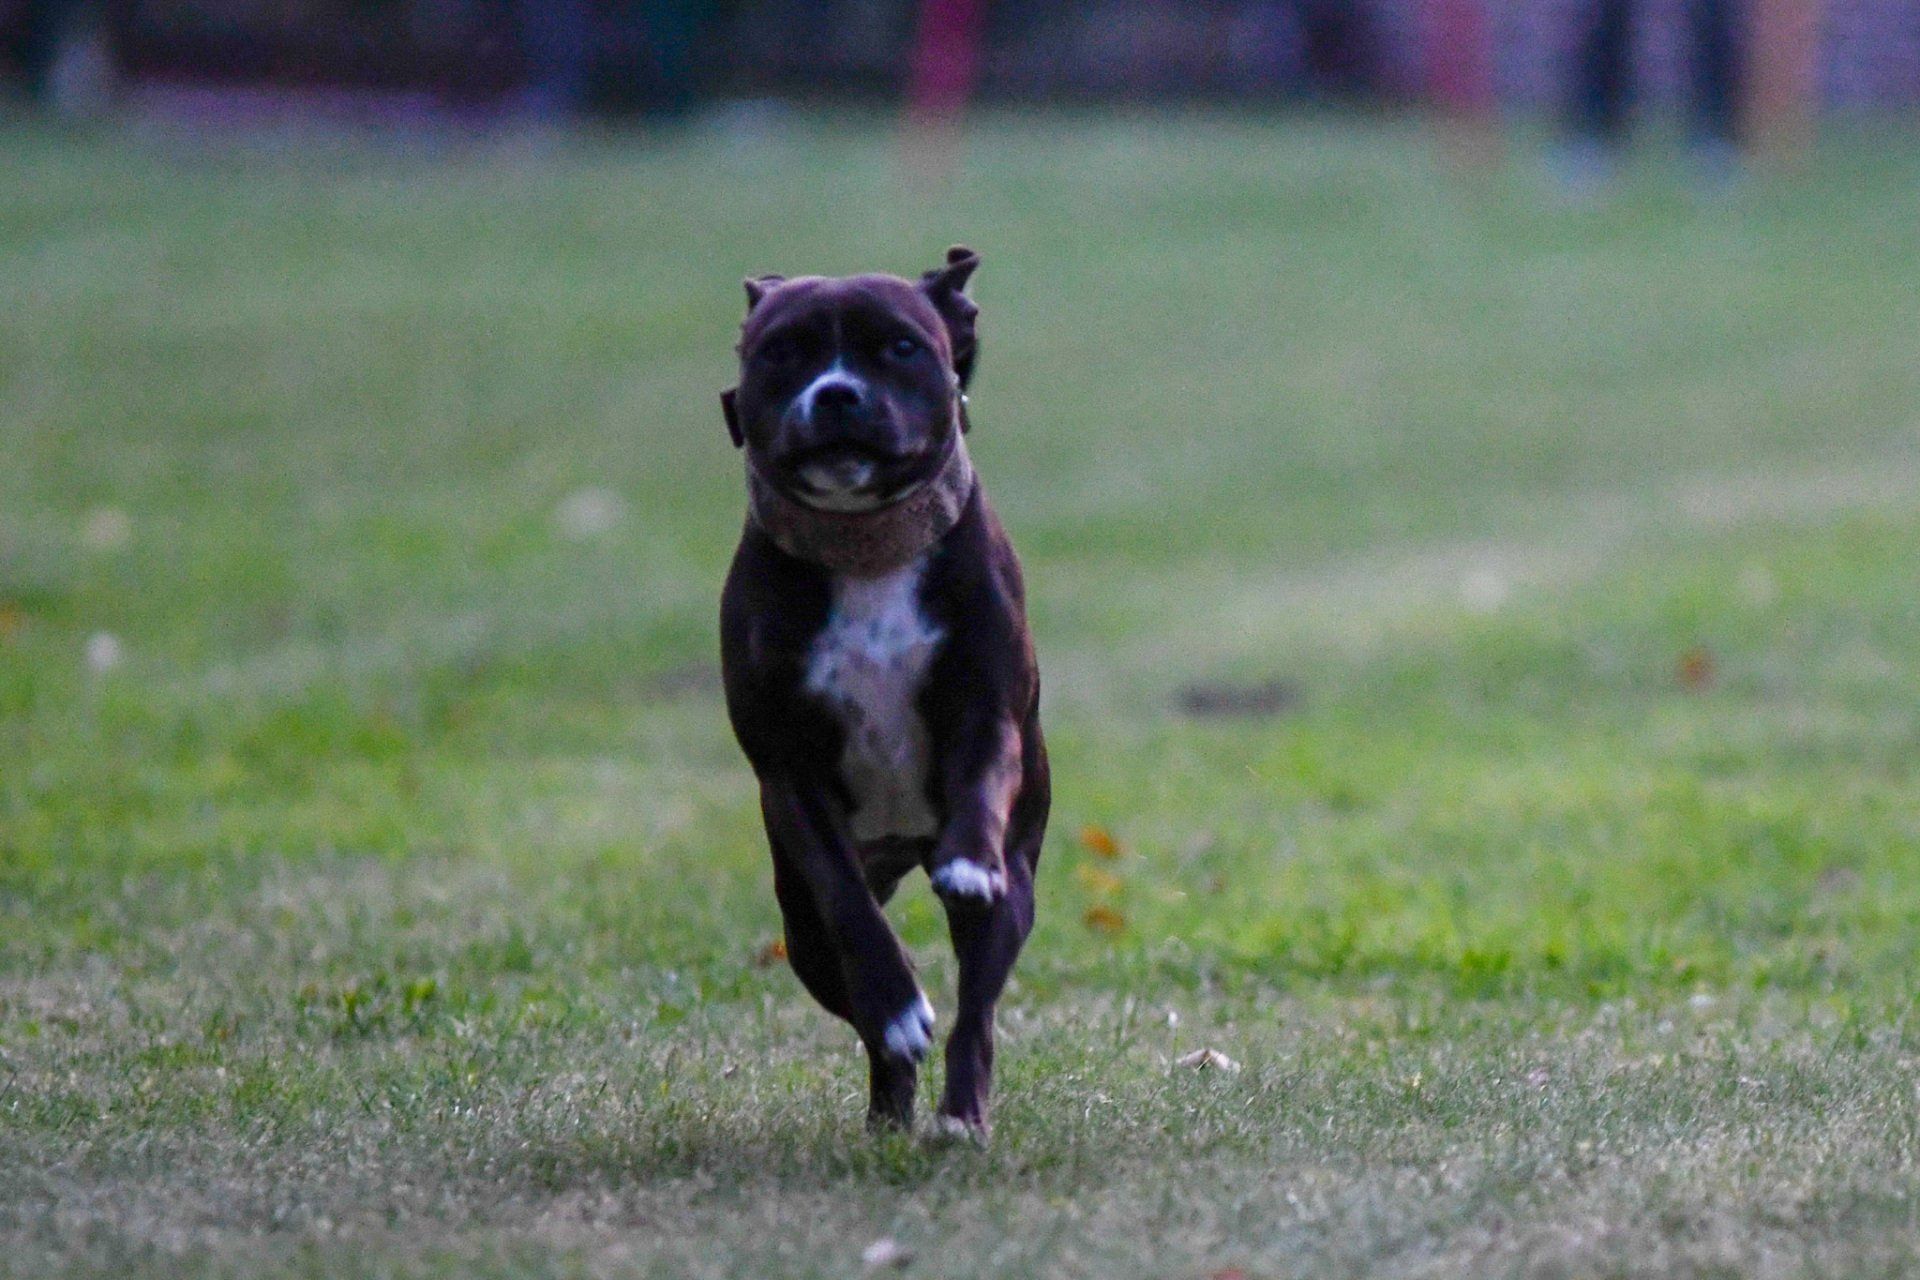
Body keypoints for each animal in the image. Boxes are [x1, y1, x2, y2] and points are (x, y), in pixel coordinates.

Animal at [719, 248, 1048, 1139]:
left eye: (901, 346)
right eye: (781, 352)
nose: (837, 393)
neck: (865, 548)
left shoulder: (985, 712)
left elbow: (981, 781)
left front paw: (968, 859)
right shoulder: (790, 773)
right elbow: (851, 912)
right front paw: (898, 1007)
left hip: (1015, 900)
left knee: (978, 1009)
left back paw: (960, 1116)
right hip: (799, 932)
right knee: (856, 992)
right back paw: (892, 1097)